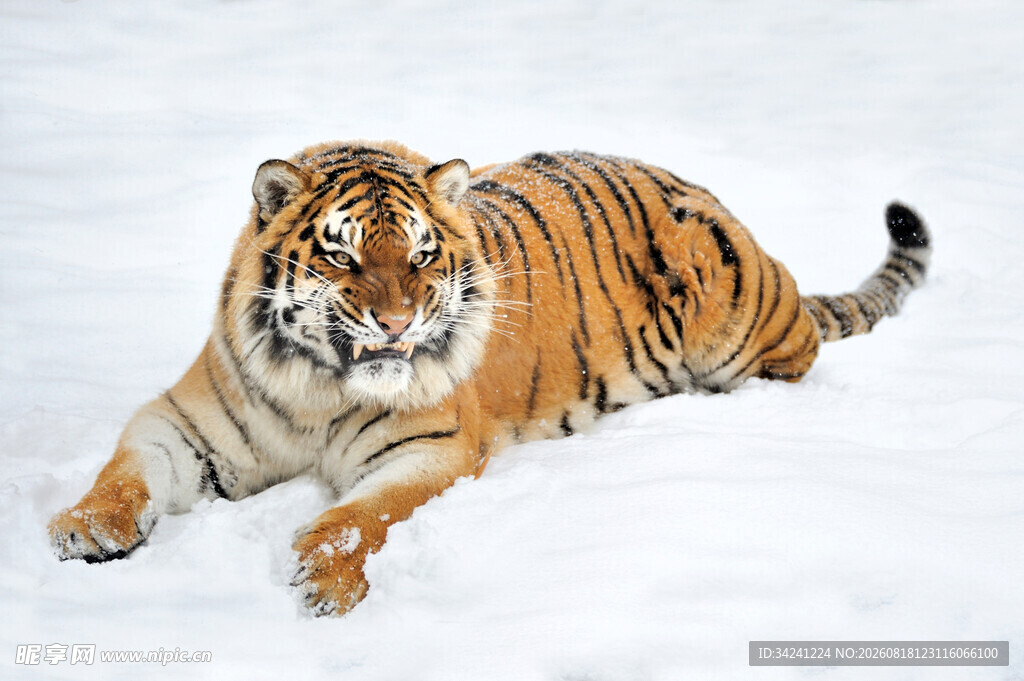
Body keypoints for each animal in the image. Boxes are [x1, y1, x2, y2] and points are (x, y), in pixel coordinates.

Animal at [48, 140, 931, 616]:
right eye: (343, 256)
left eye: (420, 255)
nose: (397, 323)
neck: (318, 387)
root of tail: (708, 195)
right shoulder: (184, 420)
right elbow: (125, 469)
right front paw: (83, 527)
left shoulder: (433, 446)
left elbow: (357, 516)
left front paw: (324, 581)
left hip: (736, 319)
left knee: (798, 356)